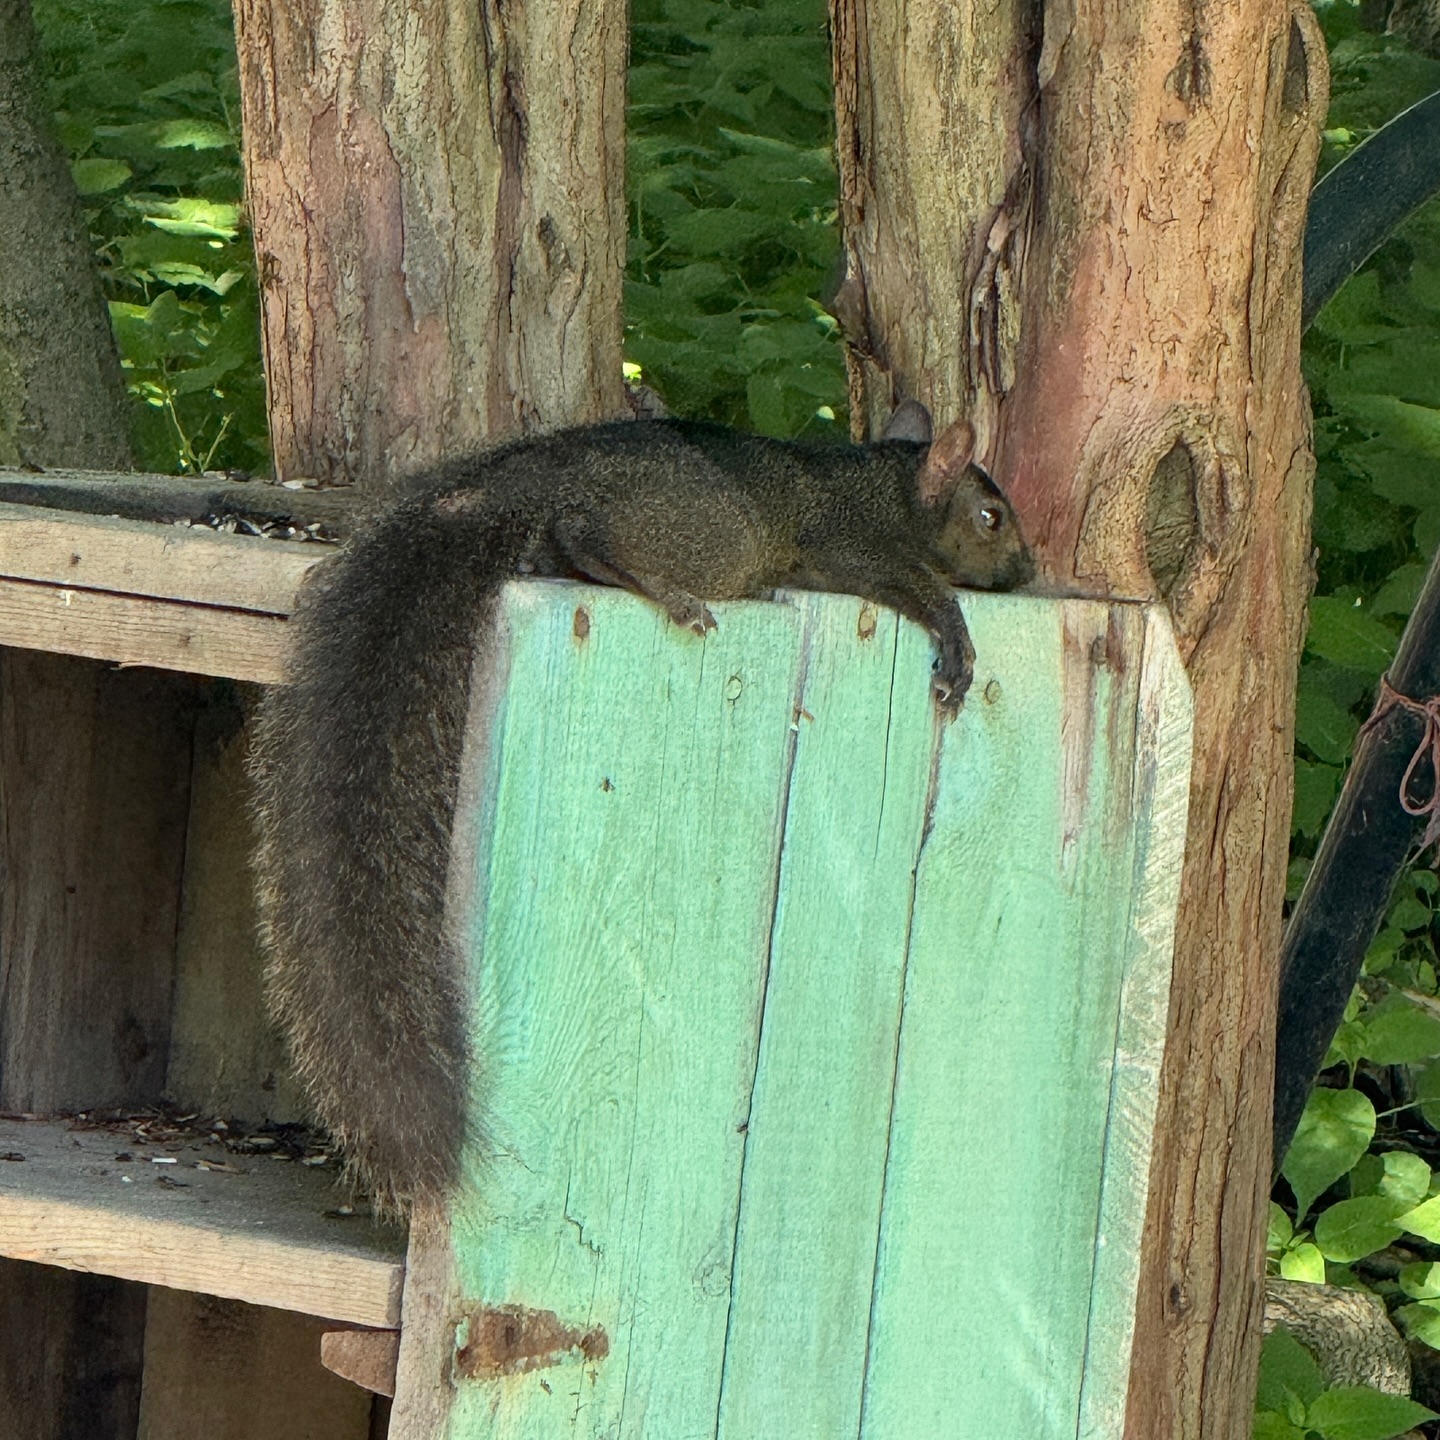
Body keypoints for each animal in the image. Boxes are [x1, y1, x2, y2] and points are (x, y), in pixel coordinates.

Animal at [247, 402, 1034, 1219]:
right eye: (990, 516)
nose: (1028, 572)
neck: (884, 485)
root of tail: (527, 479)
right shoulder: (850, 544)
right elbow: (914, 584)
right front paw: (955, 639)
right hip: (720, 536)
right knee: (585, 531)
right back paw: (666, 591)